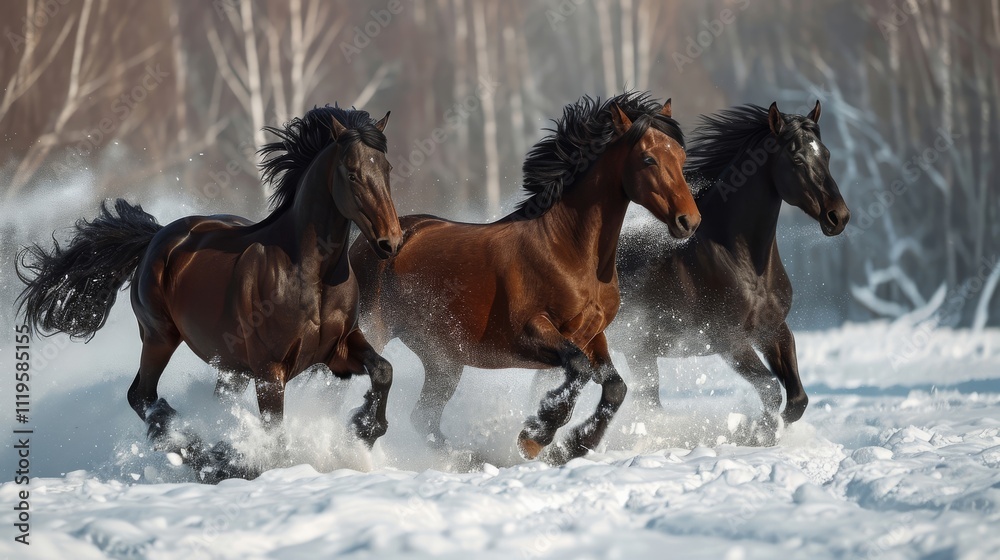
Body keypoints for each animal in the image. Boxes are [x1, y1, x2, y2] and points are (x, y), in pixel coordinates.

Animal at [17, 106, 403, 479]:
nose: (392, 242)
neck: (310, 276)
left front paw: (364, 428)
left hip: (229, 366)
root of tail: (157, 237)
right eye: (352, 174)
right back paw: (203, 455)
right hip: (159, 337)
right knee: (142, 396)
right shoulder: (270, 371)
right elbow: (275, 435)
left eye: (387, 168)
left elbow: (383, 371)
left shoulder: (338, 349)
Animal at [350, 91, 700, 464]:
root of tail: (372, 240)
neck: (567, 250)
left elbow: (614, 387)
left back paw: (464, 457)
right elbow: (578, 370)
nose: (688, 221)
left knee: (423, 416)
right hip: (374, 330)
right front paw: (536, 435)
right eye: (649, 159)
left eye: (681, 156)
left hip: (442, 359)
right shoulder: (530, 332)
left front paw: (575, 445)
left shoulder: (593, 335)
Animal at [610, 101, 850, 445]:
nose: (838, 216)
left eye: (826, 154)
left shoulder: (774, 330)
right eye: (797, 158)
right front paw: (754, 434)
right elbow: (771, 390)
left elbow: (797, 399)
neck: (743, 263)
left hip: (639, 354)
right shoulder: (729, 341)